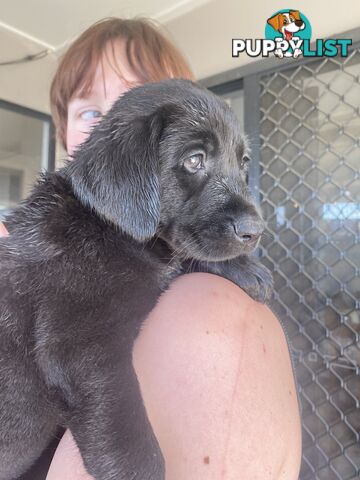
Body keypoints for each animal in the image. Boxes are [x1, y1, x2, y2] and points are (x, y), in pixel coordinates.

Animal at [0, 80, 272, 478]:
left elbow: (183, 256)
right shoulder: (80, 346)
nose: (255, 231)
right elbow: (129, 438)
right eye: (194, 160)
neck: (108, 227)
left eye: (243, 162)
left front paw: (245, 268)